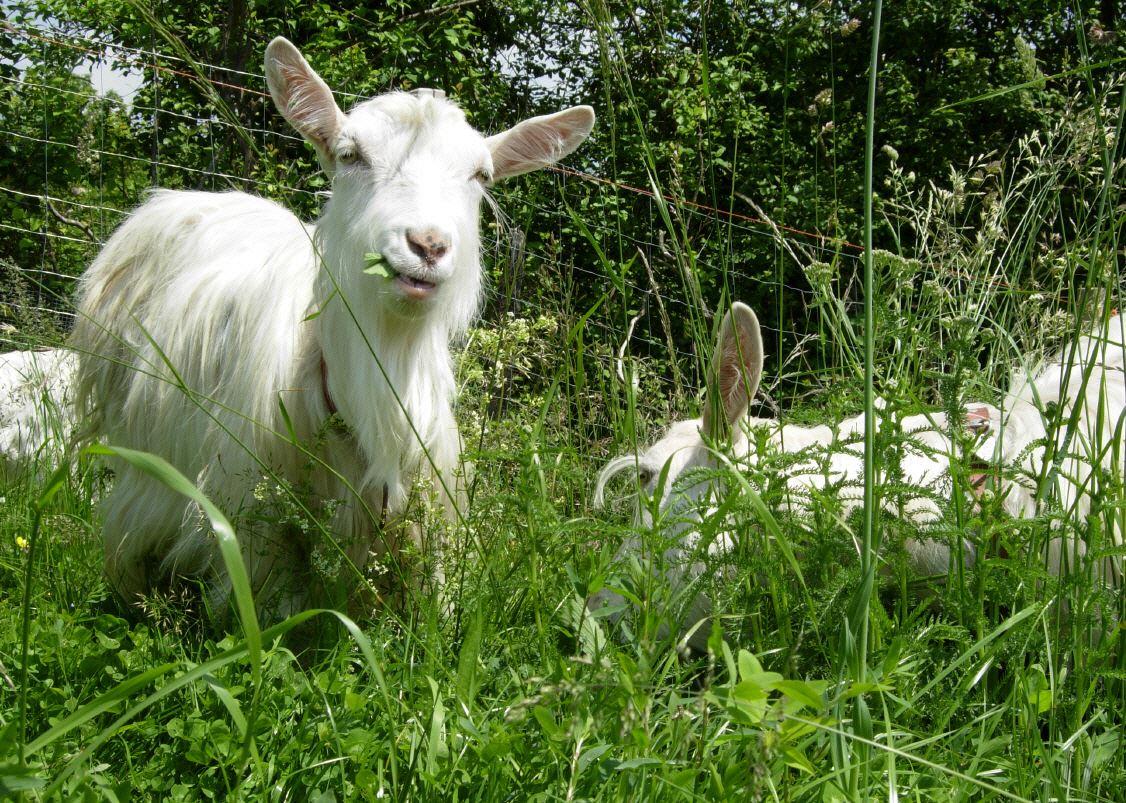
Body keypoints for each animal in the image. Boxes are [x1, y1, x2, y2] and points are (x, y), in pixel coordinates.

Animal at [70, 37, 594, 615]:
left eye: (480, 175)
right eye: (350, 155)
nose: (428, 245)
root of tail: (179, 198)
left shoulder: (429, 519)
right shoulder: (258, 523)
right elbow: (276, 617)